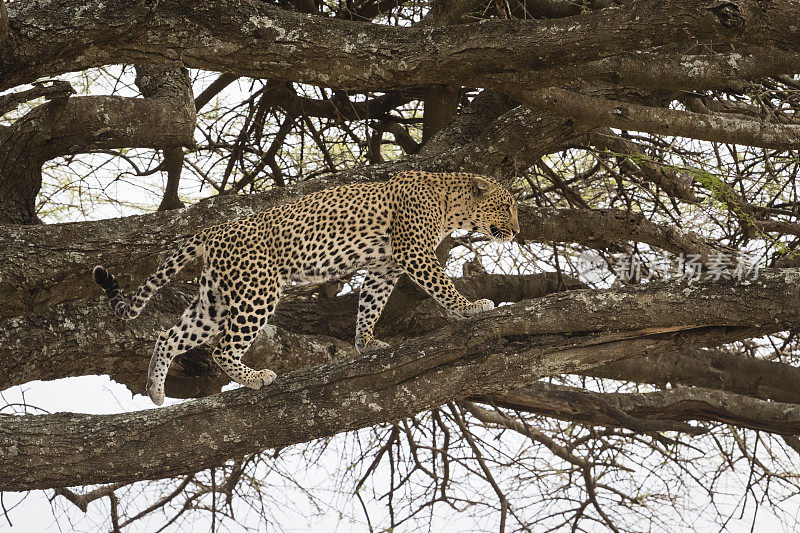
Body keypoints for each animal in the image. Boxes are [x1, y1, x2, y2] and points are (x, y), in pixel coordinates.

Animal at [92, 170, 520, 404]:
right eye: (507, 207)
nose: (517, 231)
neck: (452, 204)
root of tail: (214, 229)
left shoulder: (384, 266)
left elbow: (370, 304)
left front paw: (366, 343)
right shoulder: (414, 252)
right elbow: (442, 285)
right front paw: (470, 307)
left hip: (214, 300)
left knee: (169, 335)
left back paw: (155, 389)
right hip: (257, 291)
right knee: (220, 349)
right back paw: (255, 377)